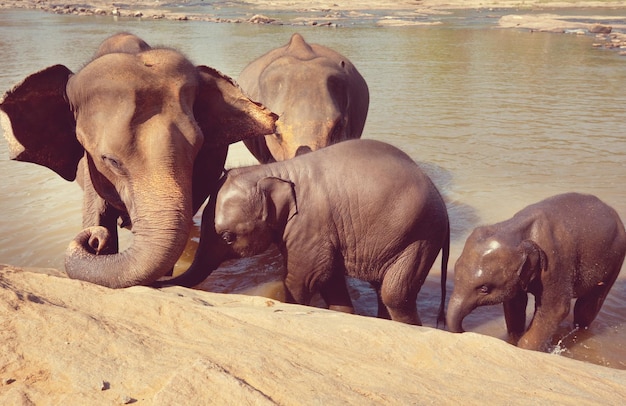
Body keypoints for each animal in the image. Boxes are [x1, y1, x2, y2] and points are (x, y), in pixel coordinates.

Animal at [0, 34, 276, 288]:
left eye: (197, 148)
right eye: (110, 160)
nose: (94, 240)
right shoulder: (90, 169)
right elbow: (97, 216)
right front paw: (103, 233)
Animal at [180, 141, 448, 326]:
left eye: (227, 237)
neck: (275, 170)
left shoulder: (309, 226)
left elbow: (303, 278)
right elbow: (330, 279)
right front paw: (343, 315)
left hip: (420, 237)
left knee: (394, 295)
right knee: (382, 290)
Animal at [446, 193, 620, 352]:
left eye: (484, 289)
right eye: (456, 274)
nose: (465, 330)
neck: (512, 228)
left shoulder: (556, 262)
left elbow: (554, 310)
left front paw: (525, 348)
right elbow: (515, 304)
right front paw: (513, 341)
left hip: (616, 257)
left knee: (588, 306)